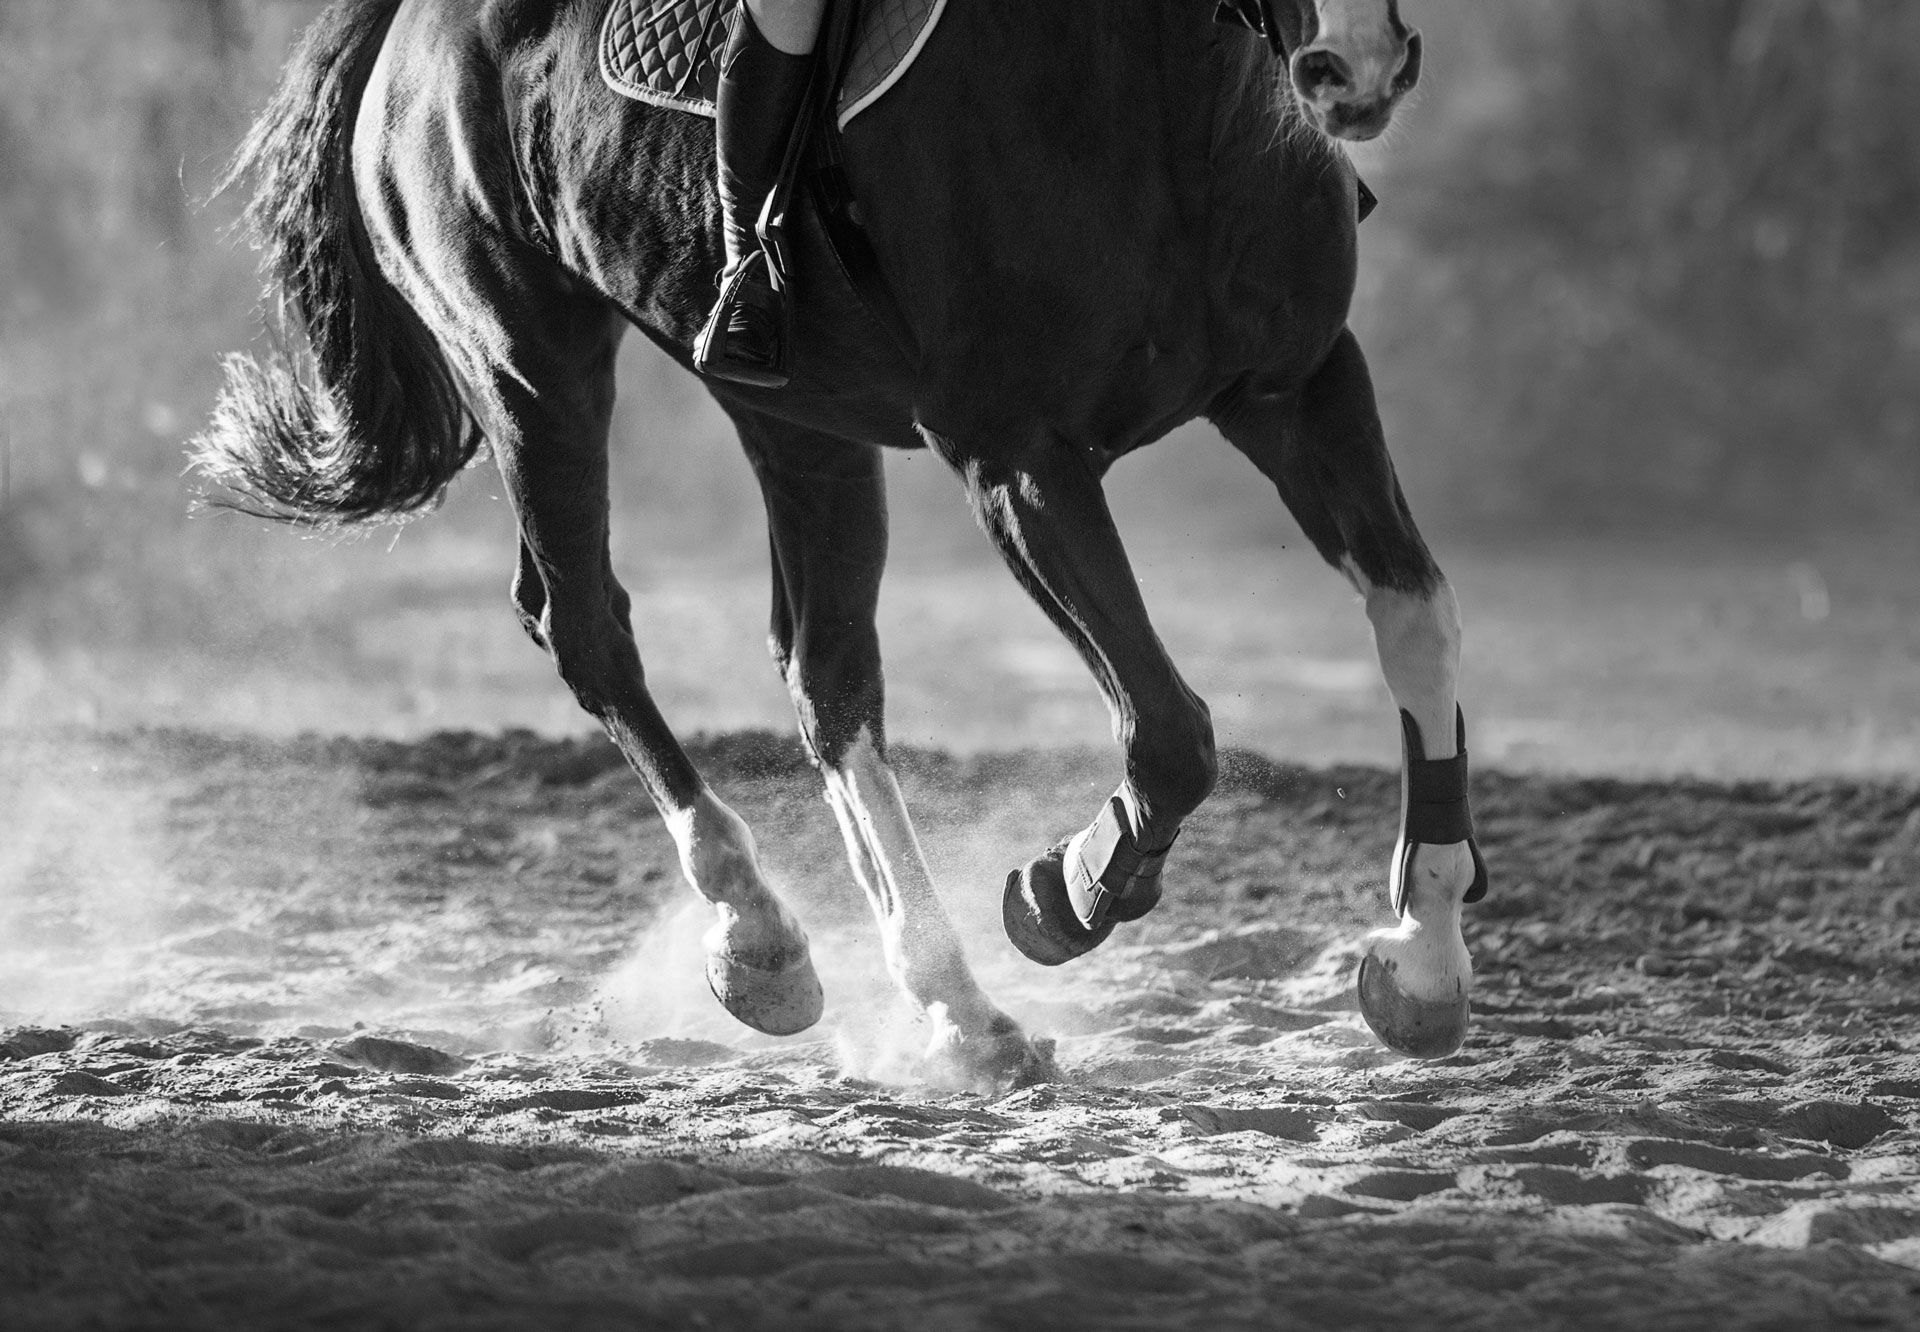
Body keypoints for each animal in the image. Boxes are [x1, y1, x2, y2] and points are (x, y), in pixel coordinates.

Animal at [194, 0, 1484, 1089]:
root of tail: (409, 25)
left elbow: (1418, 623)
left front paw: (1422, 958)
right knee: (587, 630)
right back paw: (765, 935)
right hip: (529, 364)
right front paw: (1063, 894)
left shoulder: (1300, 390)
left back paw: (950, 1006)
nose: (1358, 69)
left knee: (826, 680)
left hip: (793, 417)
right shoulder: (1018, 458)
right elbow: (1170, 734)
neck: (1166, 96)